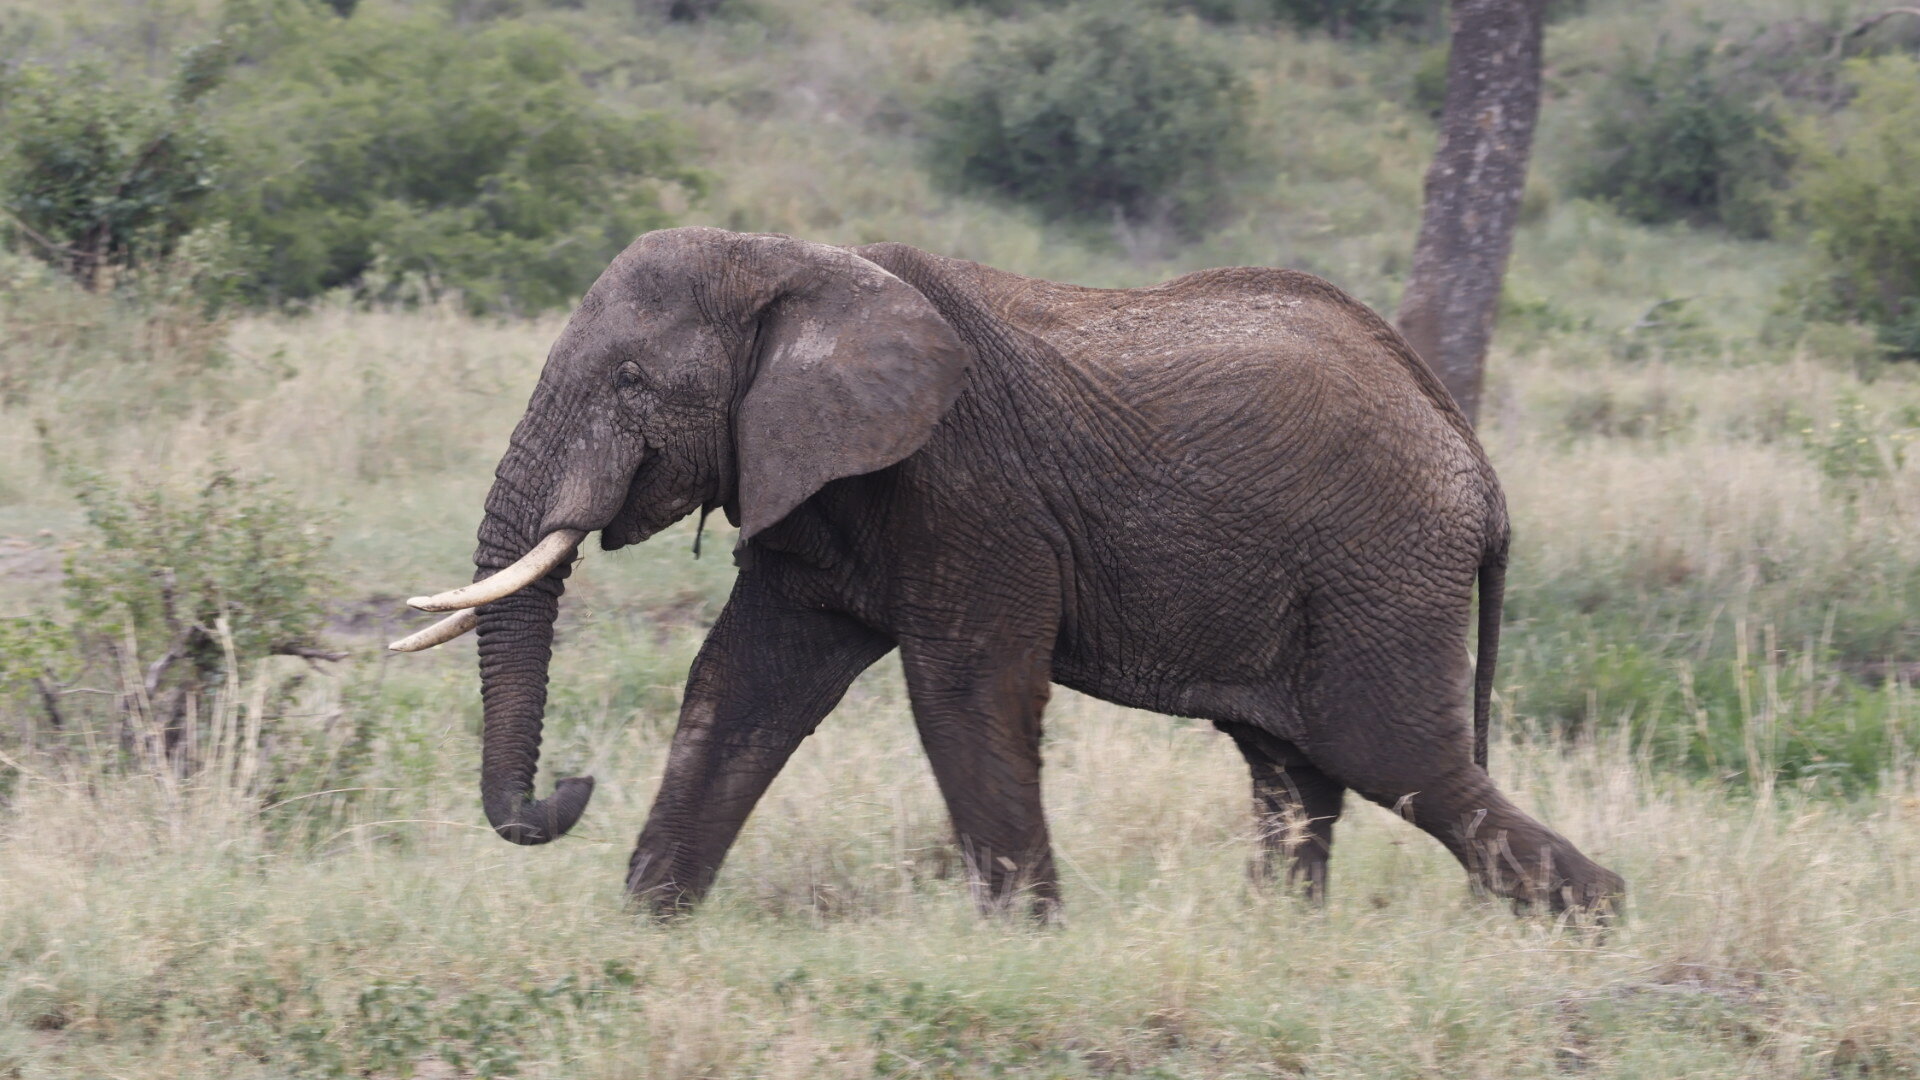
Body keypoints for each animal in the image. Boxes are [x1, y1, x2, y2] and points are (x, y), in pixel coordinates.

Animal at [393, 226, 1624, 916]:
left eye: (633, 384)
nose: (568, 789)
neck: (800, 265)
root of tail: (1474, 458)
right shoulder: (816, 485)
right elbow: (741, 687)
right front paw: (650, 922)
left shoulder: (966, 489)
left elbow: (965, 693)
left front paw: (1027, 937)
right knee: (1297, 774)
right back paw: (1280, 938)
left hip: (1383, 567)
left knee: (1397, 760)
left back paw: (1597, 918)